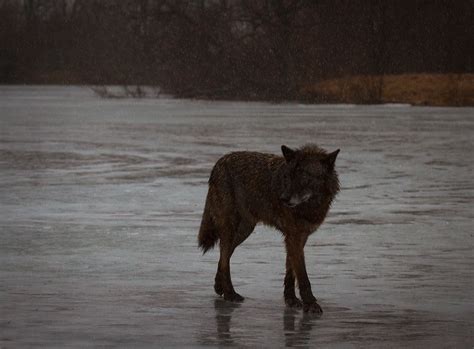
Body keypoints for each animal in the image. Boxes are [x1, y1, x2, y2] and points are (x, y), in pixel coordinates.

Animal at [197, 144, 340, 312]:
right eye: (288, 176)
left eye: (304, 175)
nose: (283, 198)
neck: (309, 207)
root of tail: (219, 162)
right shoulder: (294, 237)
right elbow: (303, 276)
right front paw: (310, 303)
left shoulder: (298, 237)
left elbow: (291, 271)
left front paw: (291, 299)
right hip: (230, 228)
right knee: (224, 256)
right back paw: (230, 293)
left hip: (244, 230)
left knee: (224, 255)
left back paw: (219, 287)